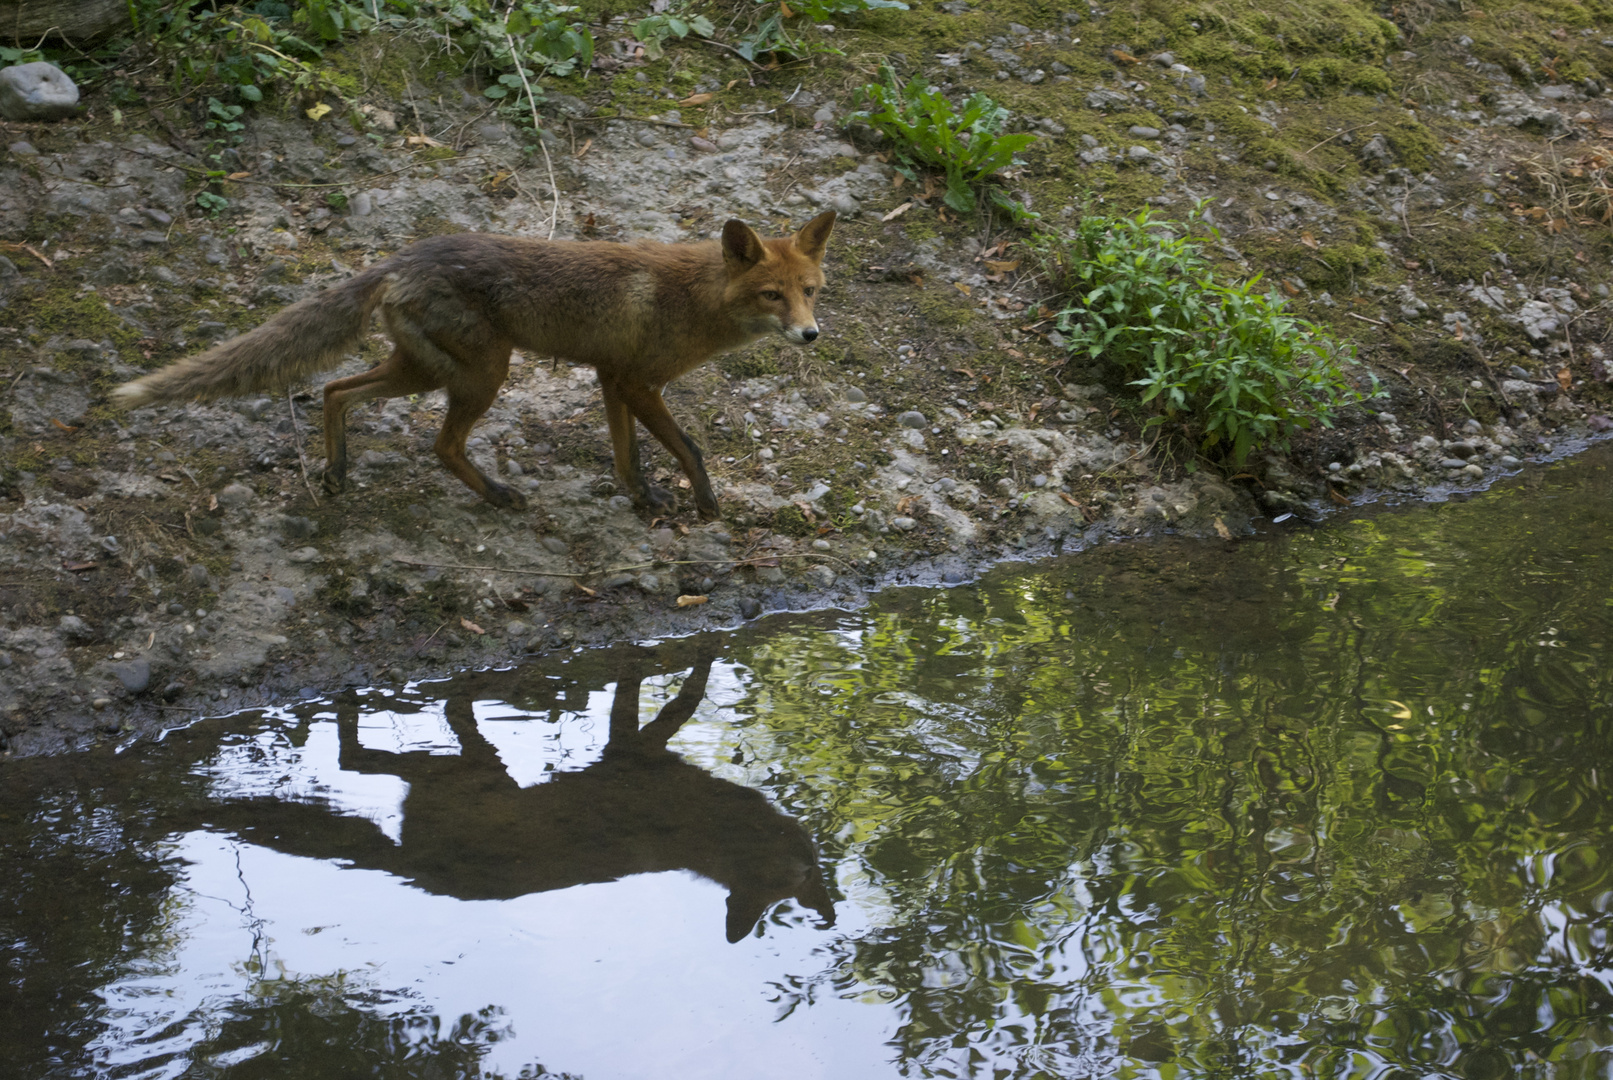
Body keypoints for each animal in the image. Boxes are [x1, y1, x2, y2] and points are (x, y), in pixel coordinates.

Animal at [116, 209, 832, 522]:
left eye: (810, 290)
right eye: (772, 295)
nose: (811, 335)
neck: (694, 299)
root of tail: (404, 256)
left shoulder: (611, 378)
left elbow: (628, 454)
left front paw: (643, 497)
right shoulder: (637, 381)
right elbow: (689, 447)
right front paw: (707, 505)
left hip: (425, 371)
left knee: (335, 389)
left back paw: (337, 474)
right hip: (483, 374)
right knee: (440, 445)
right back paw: (494, 494)